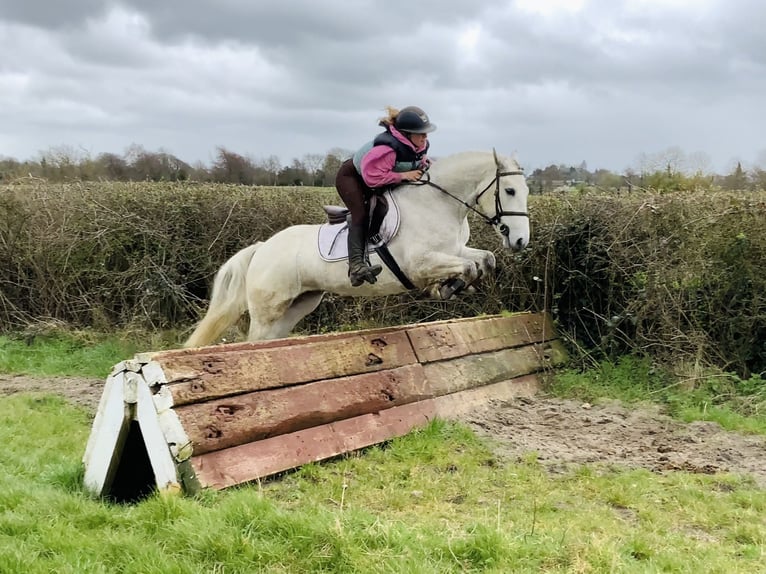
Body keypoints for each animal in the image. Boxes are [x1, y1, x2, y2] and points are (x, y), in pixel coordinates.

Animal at [184, 149, 530, 346]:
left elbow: (485, 260)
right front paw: (446, 287)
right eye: (510, 191)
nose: (520, 240)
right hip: (267, 309)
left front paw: (454, 286)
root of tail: (262, 247)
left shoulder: (454, 250)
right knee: (254, 340)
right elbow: (468, 266)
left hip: (297, 305)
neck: (439, 202)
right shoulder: (420, 264)